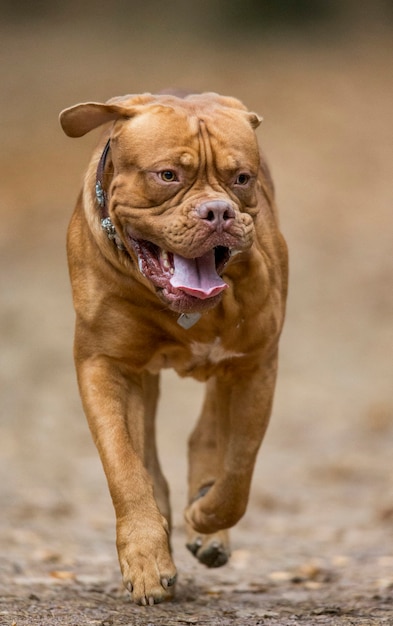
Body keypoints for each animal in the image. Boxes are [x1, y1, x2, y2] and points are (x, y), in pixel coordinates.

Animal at [59, 92, 288, 604]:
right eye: (167, 176)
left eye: (241, 178)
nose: (218, 212)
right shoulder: (104, 365)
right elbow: (126, 466)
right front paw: (146, 558)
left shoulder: (255, 363)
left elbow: (238, 468)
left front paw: (205, 516)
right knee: (147, 451)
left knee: (209, 434)